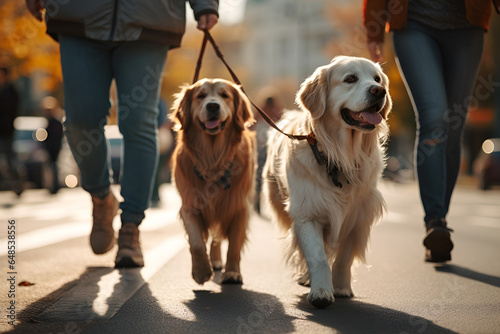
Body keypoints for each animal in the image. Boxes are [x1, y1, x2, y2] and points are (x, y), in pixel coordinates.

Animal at [264, 55, 392, 308]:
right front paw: (321, 291)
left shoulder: (359, 216)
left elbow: (343, 258)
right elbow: (318, 257)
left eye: (377, 79)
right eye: (350, 78)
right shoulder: (307, 214)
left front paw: (341, 287)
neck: (341, 157)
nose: (379, 91)